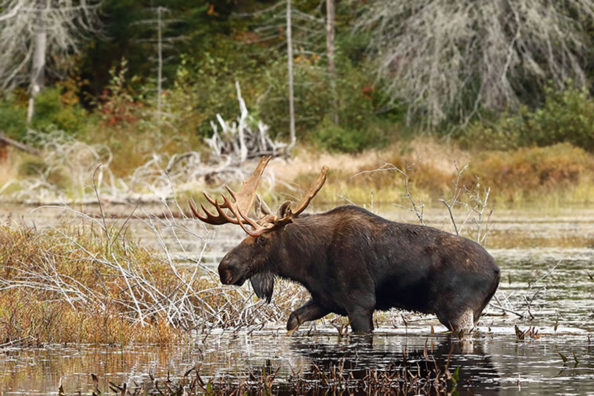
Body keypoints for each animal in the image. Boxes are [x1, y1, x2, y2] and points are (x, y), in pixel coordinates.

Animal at [190, 156, 494, 332]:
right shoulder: (325, 300)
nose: (225, 268)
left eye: (262, 239)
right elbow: (292, 320)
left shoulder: (360, 303)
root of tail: (497, 272)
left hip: (458, 311)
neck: (307, 262)